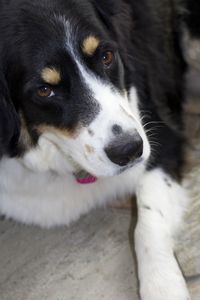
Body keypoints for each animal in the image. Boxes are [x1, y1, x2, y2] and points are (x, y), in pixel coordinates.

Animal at [0, 0, 198, 298]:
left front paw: (162, 285)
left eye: (106, 56)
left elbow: (147, 220)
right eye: (44, 90)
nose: (129, 149)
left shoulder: (160, 135)